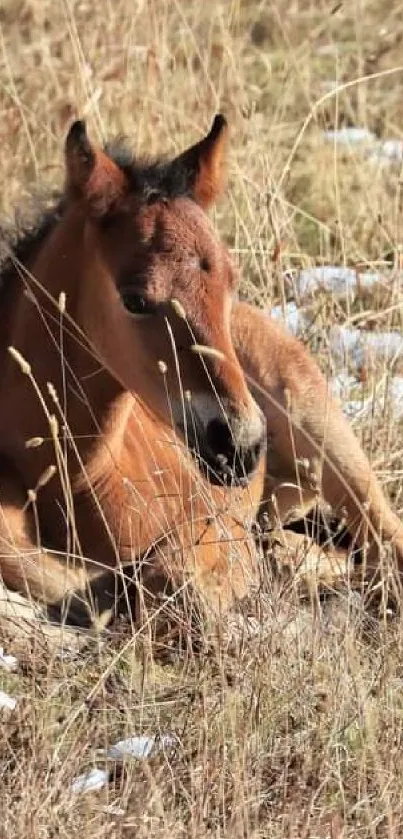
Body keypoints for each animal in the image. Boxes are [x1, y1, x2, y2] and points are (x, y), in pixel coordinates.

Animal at [0, 116, 402, 632]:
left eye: (231, 282)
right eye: (134, 299)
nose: (241, 446)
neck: (74, 480)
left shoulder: (215, 524)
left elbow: (176, 583)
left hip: (321, 425)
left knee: (384, 542)